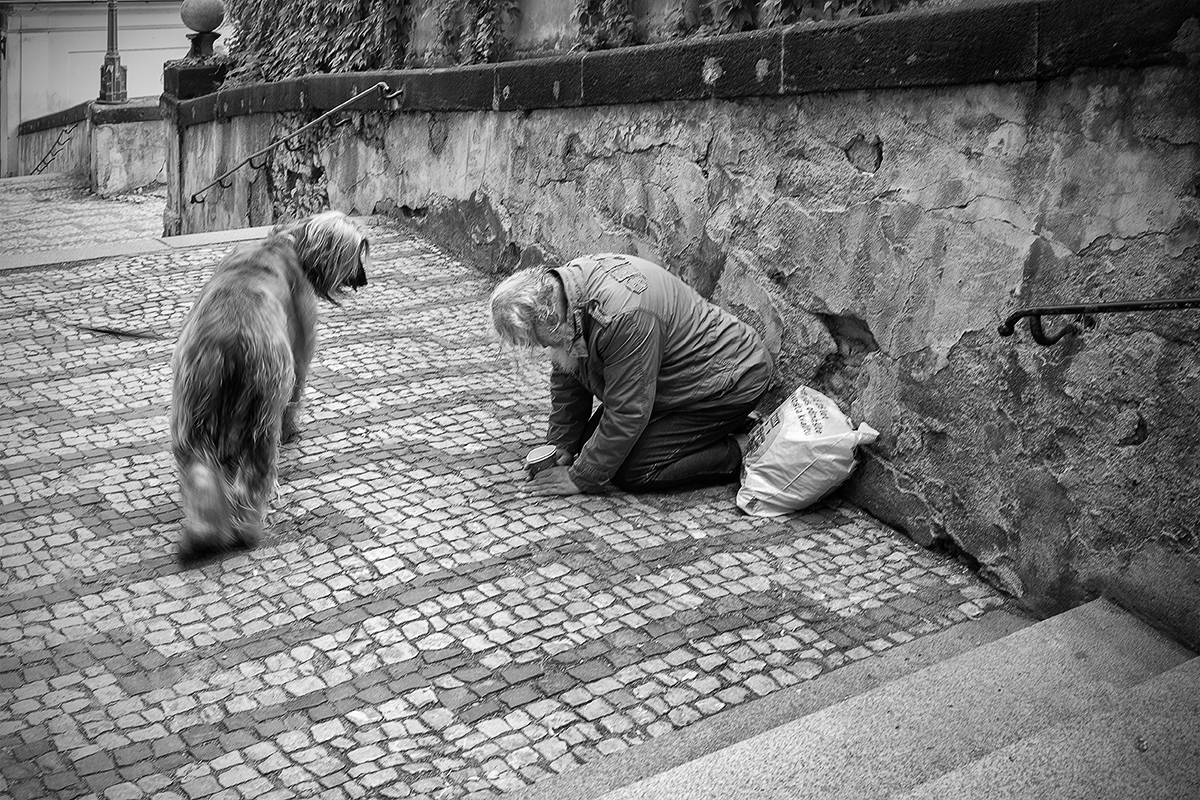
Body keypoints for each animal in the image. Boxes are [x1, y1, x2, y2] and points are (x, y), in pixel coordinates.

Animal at [168, 212, 364, 563]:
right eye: (359, 248)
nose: (363, 279)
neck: (285, 241)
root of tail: (229, 337)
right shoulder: (300, 352)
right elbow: (297, 394)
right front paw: (293, 431)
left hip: (194, 408)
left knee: (200, 471)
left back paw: (203, 535)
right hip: (262, 406)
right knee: (254, 473)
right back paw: (246, 529)